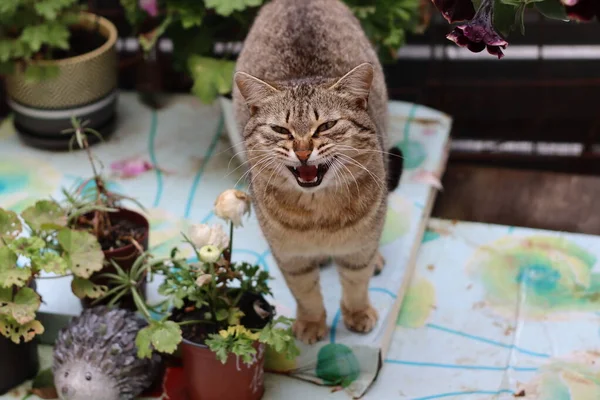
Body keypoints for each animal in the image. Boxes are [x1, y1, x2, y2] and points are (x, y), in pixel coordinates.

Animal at [234, 0, 404, 344]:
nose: (302, 151)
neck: (318, 217)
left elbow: (356, 282)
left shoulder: (359, 249)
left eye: (326, 126)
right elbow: (305, 293)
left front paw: (357, 314)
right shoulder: (290, 257)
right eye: (280, 129)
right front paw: (312, 324)